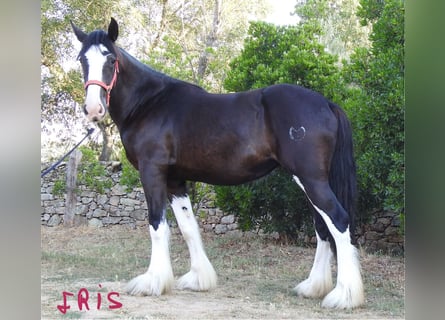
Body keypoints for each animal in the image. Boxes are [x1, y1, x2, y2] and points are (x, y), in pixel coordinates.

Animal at [71, 18, 364, 310]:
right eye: (82, 60)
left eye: (110, 59)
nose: (93, 109)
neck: (149, 103)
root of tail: (326, 103)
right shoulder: (175, 180)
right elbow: (188, 227)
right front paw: (198, 279)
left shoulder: (152, 171)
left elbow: (157, 226)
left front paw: (151, 282)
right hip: (309, 180)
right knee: (322, 226)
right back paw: (313, 287)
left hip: (310, 178)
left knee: (338, 220)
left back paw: (344, 295)